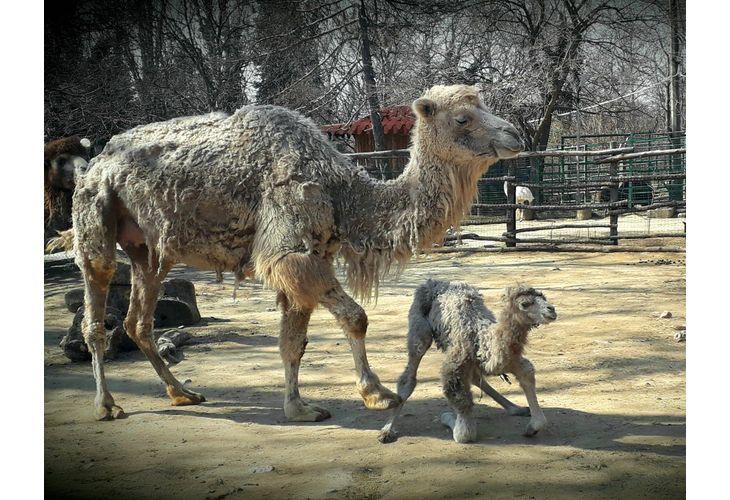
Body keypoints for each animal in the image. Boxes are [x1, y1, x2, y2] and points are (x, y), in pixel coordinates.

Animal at [378, 280, 556, 444]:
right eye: (525, 304)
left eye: (543, 297)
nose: (552, 309)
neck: (482, 339)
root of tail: (432, 282)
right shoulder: (455, 367)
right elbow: (464, 433)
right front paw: (448, 416)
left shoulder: (509, 360)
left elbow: (527, 373)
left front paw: (532, 425)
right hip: (419, 328)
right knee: (410, 374)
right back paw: (386, 431)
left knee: (476, 378)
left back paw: (516, 408)